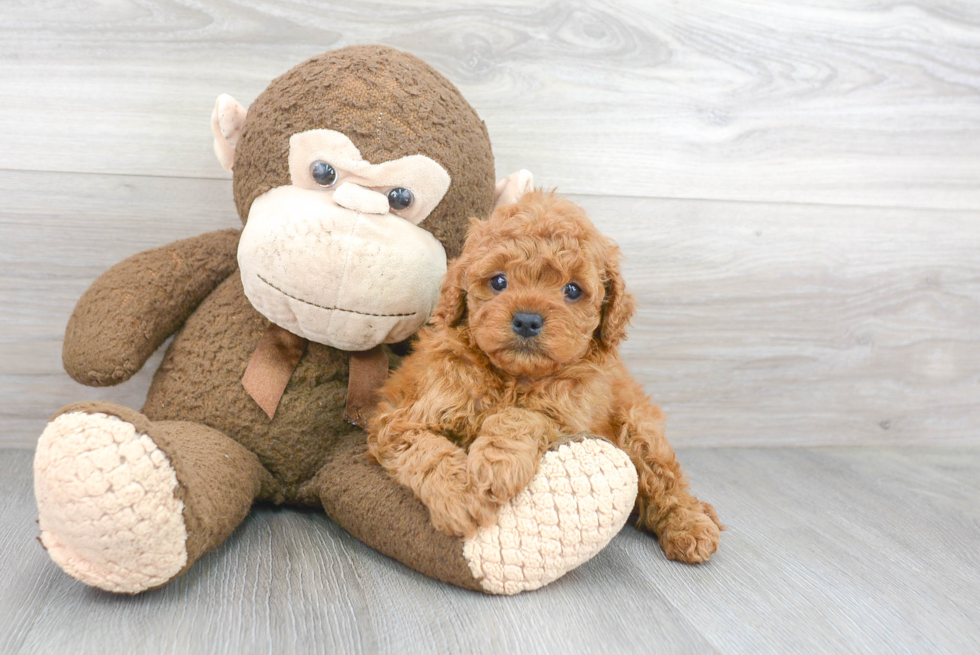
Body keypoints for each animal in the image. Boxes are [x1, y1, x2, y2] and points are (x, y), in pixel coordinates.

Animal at [368, 190, 720, 564]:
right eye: (499, 281)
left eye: (572, 290)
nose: (527, 320)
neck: (514, 377)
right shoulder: (403, 420)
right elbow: (430, 453)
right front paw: (461, 496)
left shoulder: (569, 414)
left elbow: (522, 417)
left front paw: (496, 464)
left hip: (638, 425)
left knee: (666, 480)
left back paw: (692, 525)